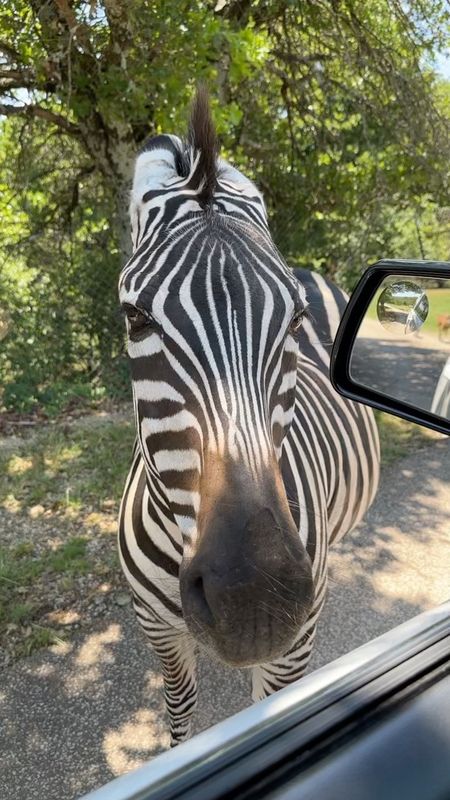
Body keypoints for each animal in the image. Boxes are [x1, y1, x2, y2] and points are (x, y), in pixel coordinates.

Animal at [118, 88, 380, 746]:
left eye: (295, 321)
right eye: (135, 319)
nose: (254, 602)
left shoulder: (290, 653)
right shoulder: (157, 629)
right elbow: (181, 712)